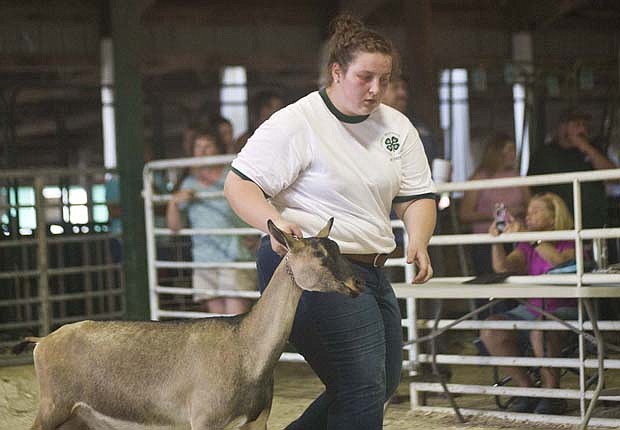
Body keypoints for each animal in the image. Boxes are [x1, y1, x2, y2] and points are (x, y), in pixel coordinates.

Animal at [15, 218, 364, 430]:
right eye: (319, 254)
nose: (357, 283)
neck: (245, 347)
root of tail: (43, 342)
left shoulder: (256, 422)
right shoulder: (205, 420)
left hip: (79, 417)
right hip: (53, 406)